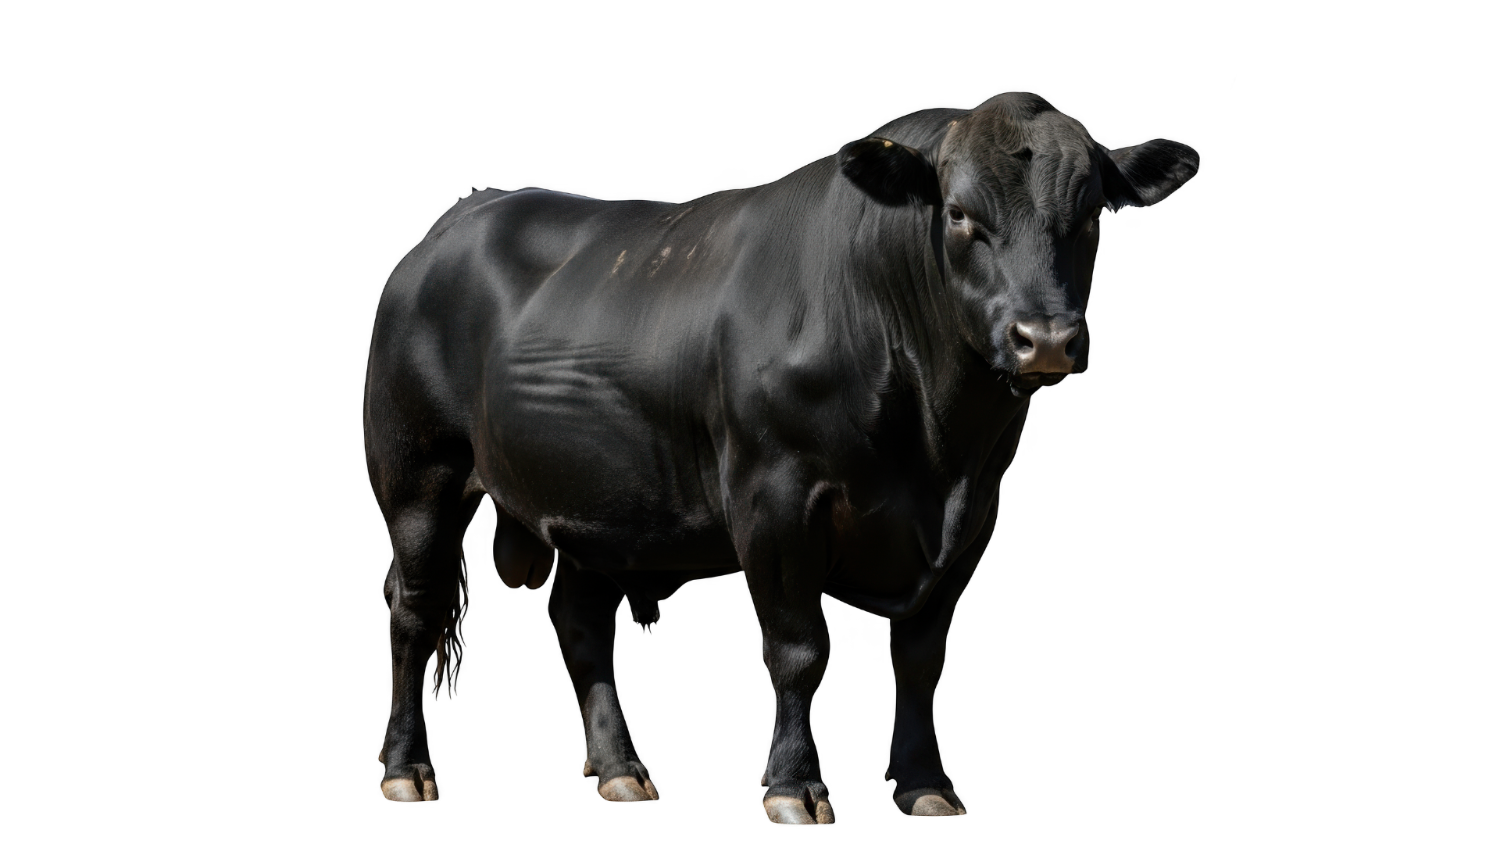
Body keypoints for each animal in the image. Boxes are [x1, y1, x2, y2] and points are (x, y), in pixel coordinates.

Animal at [366, 91, 1197, 823]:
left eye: (1091, 216)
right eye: (960, 215)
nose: (1046, 340)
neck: (937, 446)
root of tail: (469, 210)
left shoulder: (976, 518)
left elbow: (921, 658)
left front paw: (926, 784)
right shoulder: (776, 496)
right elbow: (799, 649)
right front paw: (794, 786)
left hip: (582, 502)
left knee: (582, 628)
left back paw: (619, 771)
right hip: (418, 477)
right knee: (414, 611)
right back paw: (408, 769)